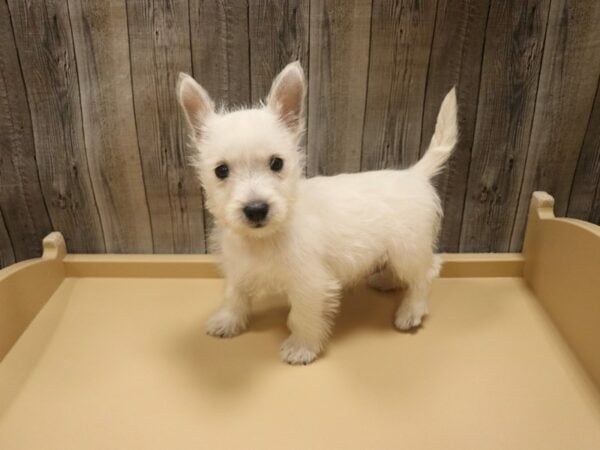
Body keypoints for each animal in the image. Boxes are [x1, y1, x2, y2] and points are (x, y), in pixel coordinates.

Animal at [176, 62, 458, 366]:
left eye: (277, 163)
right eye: (221, 170)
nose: (256, 209)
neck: (264, 239)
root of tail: (414, 174)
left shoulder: (310, 283)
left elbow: (302, 315)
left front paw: (302, 347)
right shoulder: (238, 267)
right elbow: (234, 294)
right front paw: (227, 320)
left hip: (408, 250)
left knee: (426, 272)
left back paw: (411, 311)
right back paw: (386, 281)